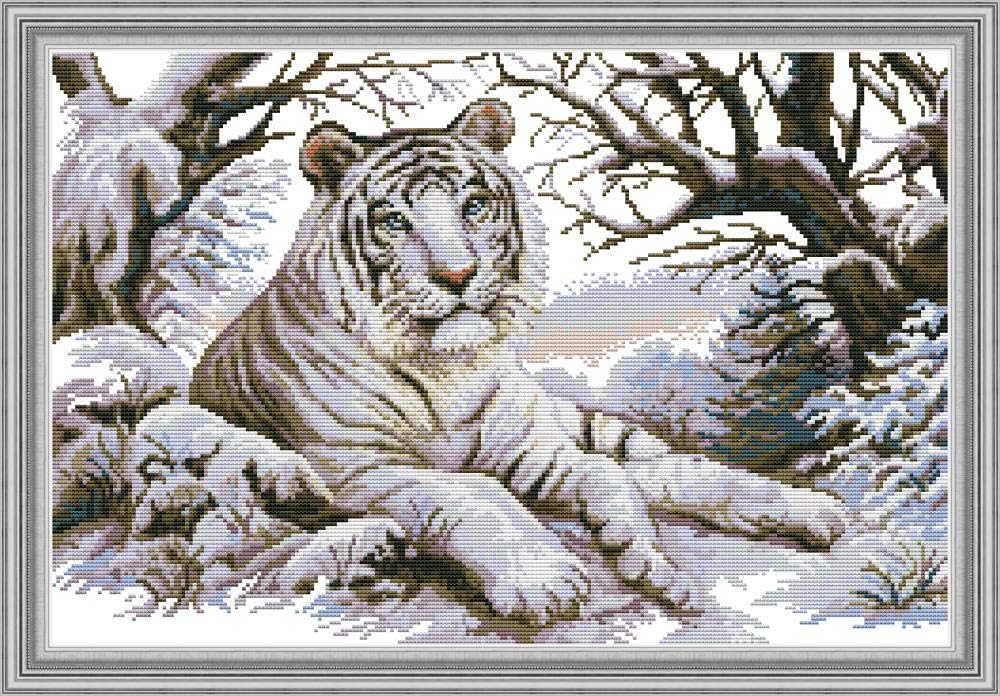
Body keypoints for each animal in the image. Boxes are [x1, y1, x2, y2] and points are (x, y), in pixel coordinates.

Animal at [190, 98, 849, 624]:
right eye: (395, 220)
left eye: (474, 205)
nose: (458, 276)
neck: (446, 370)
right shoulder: (355, 468)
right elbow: (472, 491)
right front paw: (547, 582)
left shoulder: (527, 445)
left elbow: (603, 476)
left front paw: (642, 555)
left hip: (590, 424)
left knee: (675, 468)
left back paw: (816, 512)